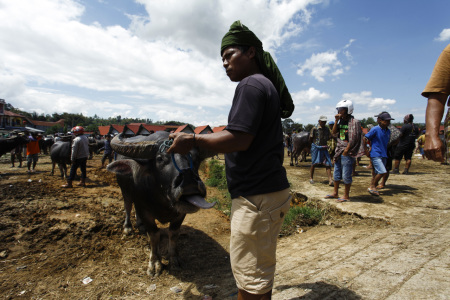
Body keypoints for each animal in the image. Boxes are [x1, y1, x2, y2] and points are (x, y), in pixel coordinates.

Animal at [108, 131, 215, 276]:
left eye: (196, 157)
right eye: (160, 158)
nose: (188, 179)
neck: (163, 201)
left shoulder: (180, 213)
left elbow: (173, 234)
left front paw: (174, 259)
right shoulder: (145, 210)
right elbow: (154, 235)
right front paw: (155, 263)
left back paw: (140, 225)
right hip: (125, 190)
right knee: (128, 206)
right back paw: (128, 227)